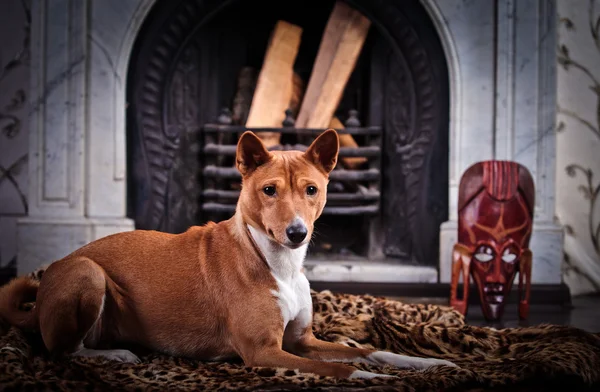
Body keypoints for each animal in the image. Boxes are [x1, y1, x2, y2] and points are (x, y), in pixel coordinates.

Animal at [1, 129, 454, 380]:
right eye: (269, 190)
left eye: (311, 189)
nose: (297, 232)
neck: (278, 264)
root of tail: (40, 297)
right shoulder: (264, 352)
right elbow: (340, 368)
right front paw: (371, 377)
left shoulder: (302, 341)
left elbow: (367, 349)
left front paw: (428, 364)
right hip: (88, 273)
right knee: (63, 351)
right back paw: (117, 354)